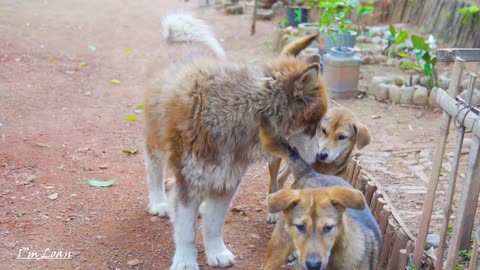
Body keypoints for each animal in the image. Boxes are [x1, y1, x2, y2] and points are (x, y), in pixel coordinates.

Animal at [144, 13, 328, 270]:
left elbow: (214, 225)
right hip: (156, 143)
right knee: (154, 171)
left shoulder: (226, 181)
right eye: (315, 126)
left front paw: (216, 251)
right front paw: (186, 261)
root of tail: (179, 39)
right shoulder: (188, 183)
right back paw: (159, 202)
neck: (234, 112)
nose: (321, 156)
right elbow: (186, 232)